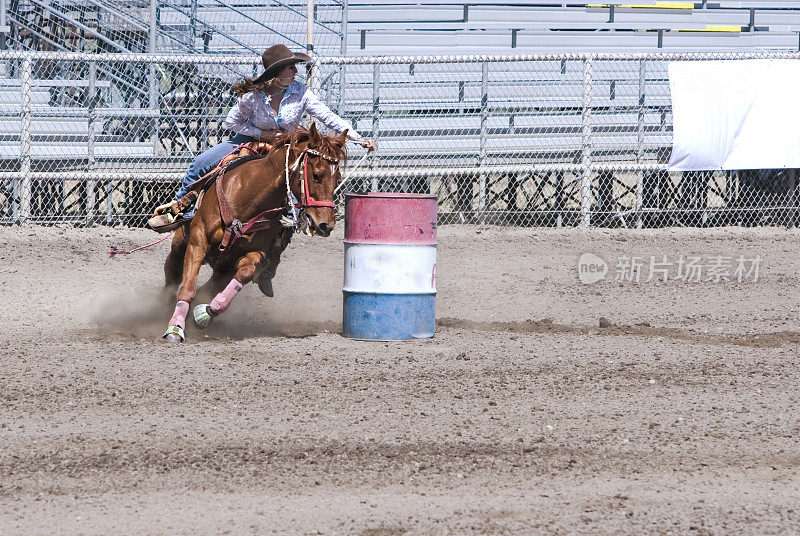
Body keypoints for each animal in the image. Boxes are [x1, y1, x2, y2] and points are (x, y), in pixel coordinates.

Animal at [162, 124, 346, 344]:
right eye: (317, 175)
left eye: (337, 178)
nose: (326, 225)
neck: (247, 197)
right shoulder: (198, 240)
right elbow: (187, 289)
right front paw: (175, 329)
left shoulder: (257, 253)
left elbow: (245, 273)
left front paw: (207, 312)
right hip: (181, 243)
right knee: (172, 271)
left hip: (223, 268)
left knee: (210, 286)